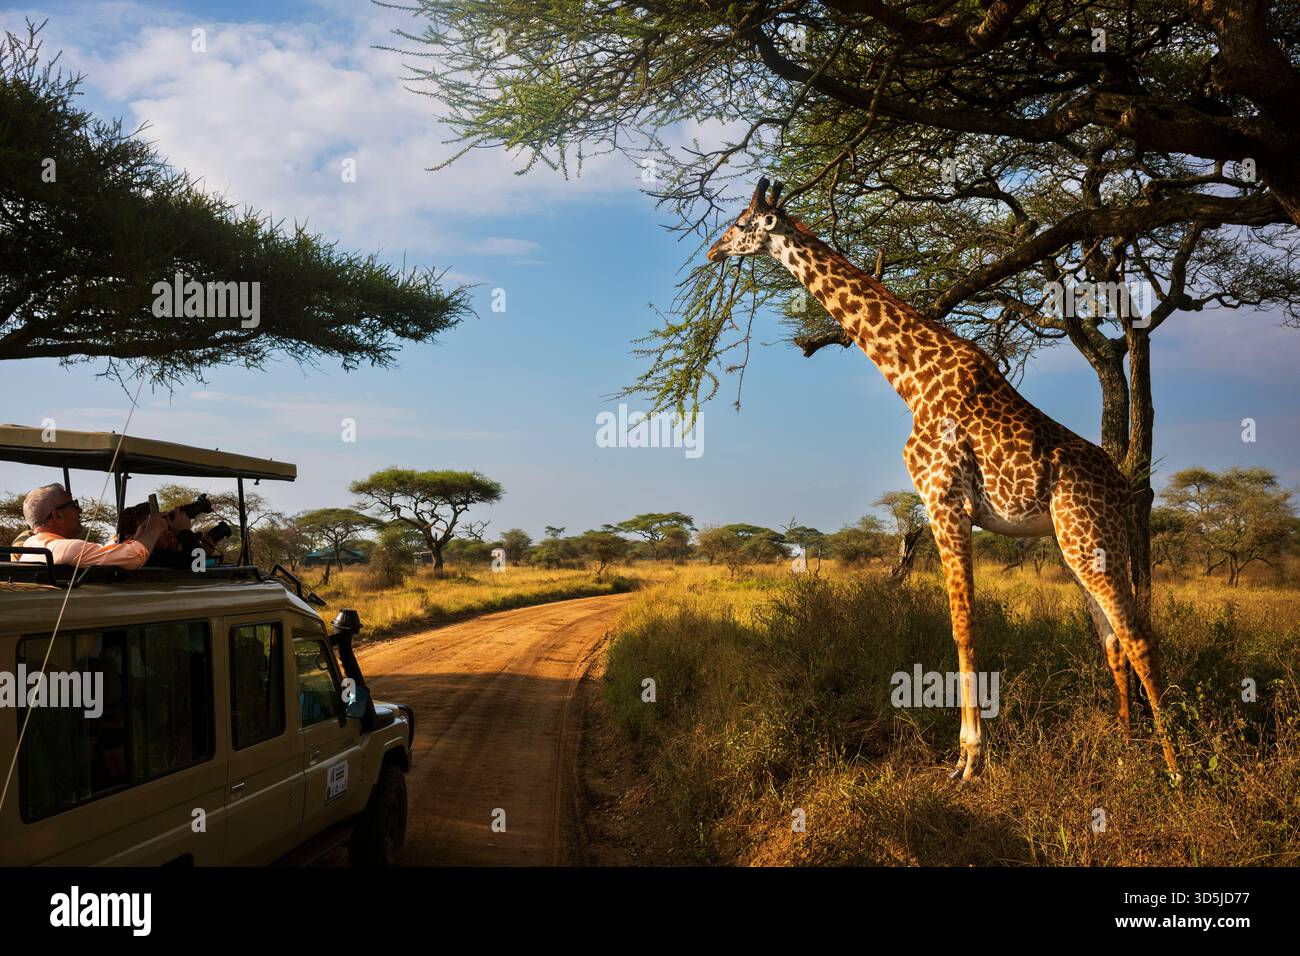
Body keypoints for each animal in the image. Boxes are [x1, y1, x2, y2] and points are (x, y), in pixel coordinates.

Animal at [707, 178, 1179, 782]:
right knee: (1114, 640)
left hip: (1087, 535)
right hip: (1083, 543)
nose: (714, 250)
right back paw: (1125, 747)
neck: (911, 379)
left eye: (742, 223)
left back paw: (1176, 766)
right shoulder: (946, 507)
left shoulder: (945, 501)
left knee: (1138, 635)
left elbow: (962, 625)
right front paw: (970, 752)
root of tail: (1124, 491)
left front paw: (969, 758)